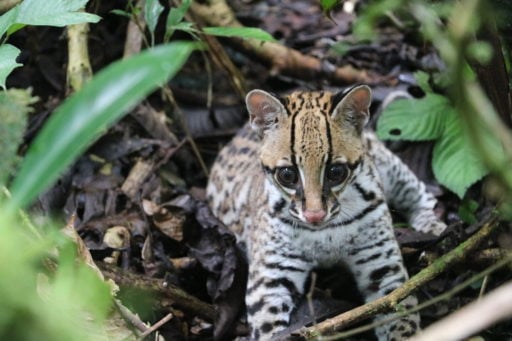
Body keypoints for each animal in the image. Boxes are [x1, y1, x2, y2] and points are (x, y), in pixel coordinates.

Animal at [206, 85, 446, 338]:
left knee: (422, 193)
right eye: (287, 175)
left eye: (336, 172)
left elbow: (402, 315)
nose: (315, 215)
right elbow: (268, 328)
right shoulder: (270, 275)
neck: (325, 231)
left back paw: (434, 226)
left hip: (389, 168)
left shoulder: (382, 263)